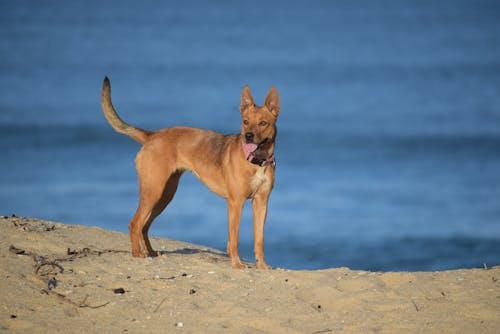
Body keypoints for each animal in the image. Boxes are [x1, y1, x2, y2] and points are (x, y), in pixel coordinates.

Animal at [99, 77, 280, 268]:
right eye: (245, 121)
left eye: (263, 123)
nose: (248, 136)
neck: (257, 162)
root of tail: (152, 136)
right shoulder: (236, 203)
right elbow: (234, 239)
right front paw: (237, 264)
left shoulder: (261, 204)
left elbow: (259, 240)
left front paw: (262, 265)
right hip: (153, 191)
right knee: (135, 224)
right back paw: (138, 254)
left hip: (164, 195)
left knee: (144, 225)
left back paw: (150, 252)